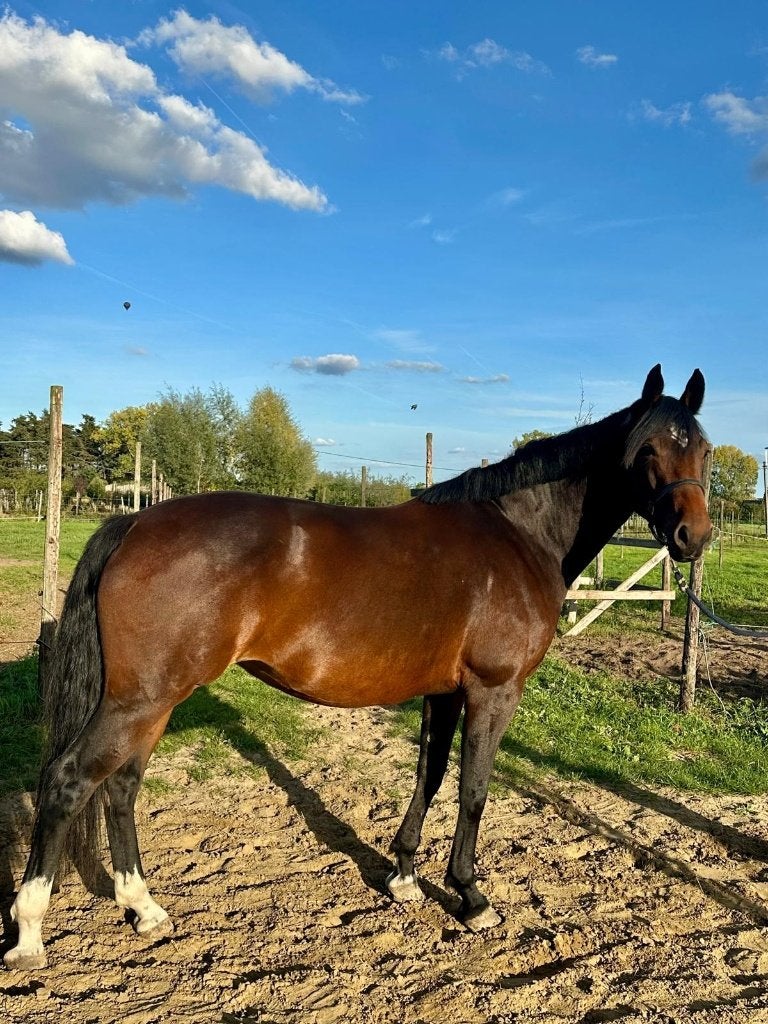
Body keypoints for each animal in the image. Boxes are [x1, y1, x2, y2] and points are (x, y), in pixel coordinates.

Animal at [4, 365, 712, 971]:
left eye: (704, 451)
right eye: (649, 450)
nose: (693, 538)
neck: (518, 534)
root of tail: (133, 523)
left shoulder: (442, 692)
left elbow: (430, 774)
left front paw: (403, 875)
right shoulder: (493, 691)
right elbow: (474, 790)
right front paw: (470, 896)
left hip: (150, 701)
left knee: (120, 787)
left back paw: (143, 908)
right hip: (141, 700)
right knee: (69, 781)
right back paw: (30, 931)